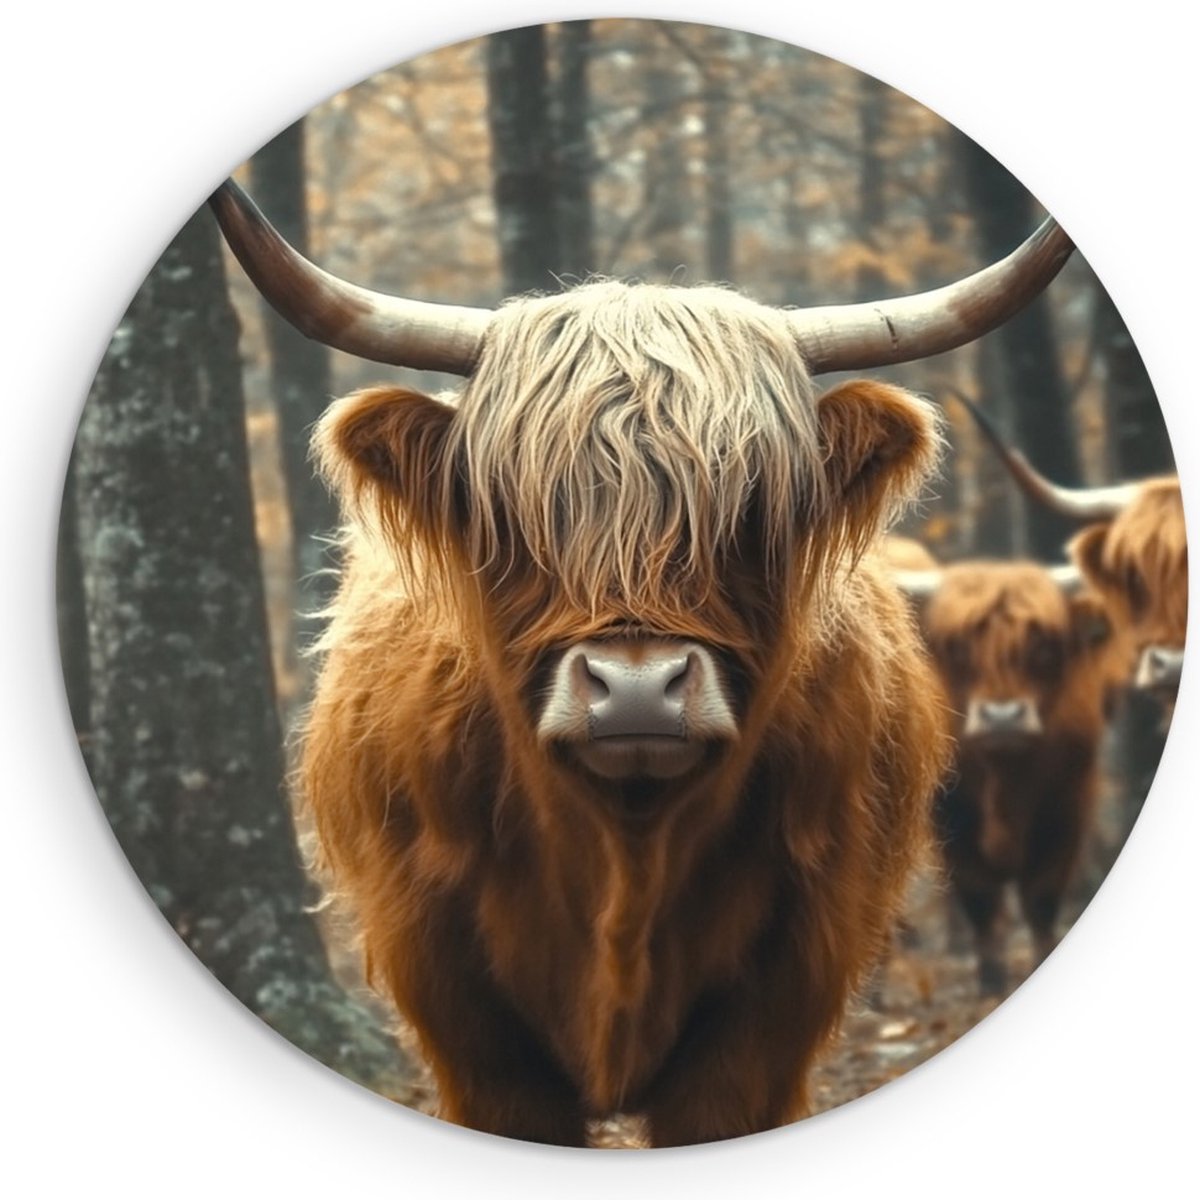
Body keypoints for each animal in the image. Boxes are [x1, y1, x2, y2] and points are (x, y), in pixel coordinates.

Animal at [211, 180, 1074, 1145]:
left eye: (753, 509)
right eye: (518, 515)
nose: (634, 690)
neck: (626, 853)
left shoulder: (782, 992)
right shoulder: (458, 1003)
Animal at [895, 559, 1116, 995]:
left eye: (1044, 649)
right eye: (960, 650)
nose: (1003, 718)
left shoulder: (1068, 807)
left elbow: (1041, 898)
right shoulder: (952, 818)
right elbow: (980, 897)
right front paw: (992, 979)